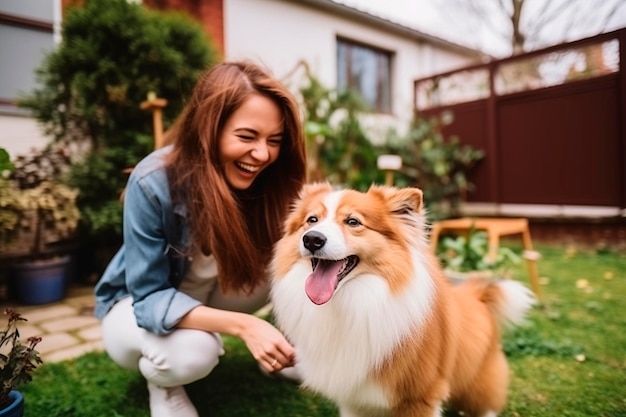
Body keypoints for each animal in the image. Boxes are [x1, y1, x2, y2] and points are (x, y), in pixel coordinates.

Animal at [268, 184, 532, 416]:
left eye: (353, 222)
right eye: (312, 220)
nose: (312, 239)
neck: (353, 301)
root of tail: (475, 295)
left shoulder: (419, 396)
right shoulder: (354, 399)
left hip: (477, 383)